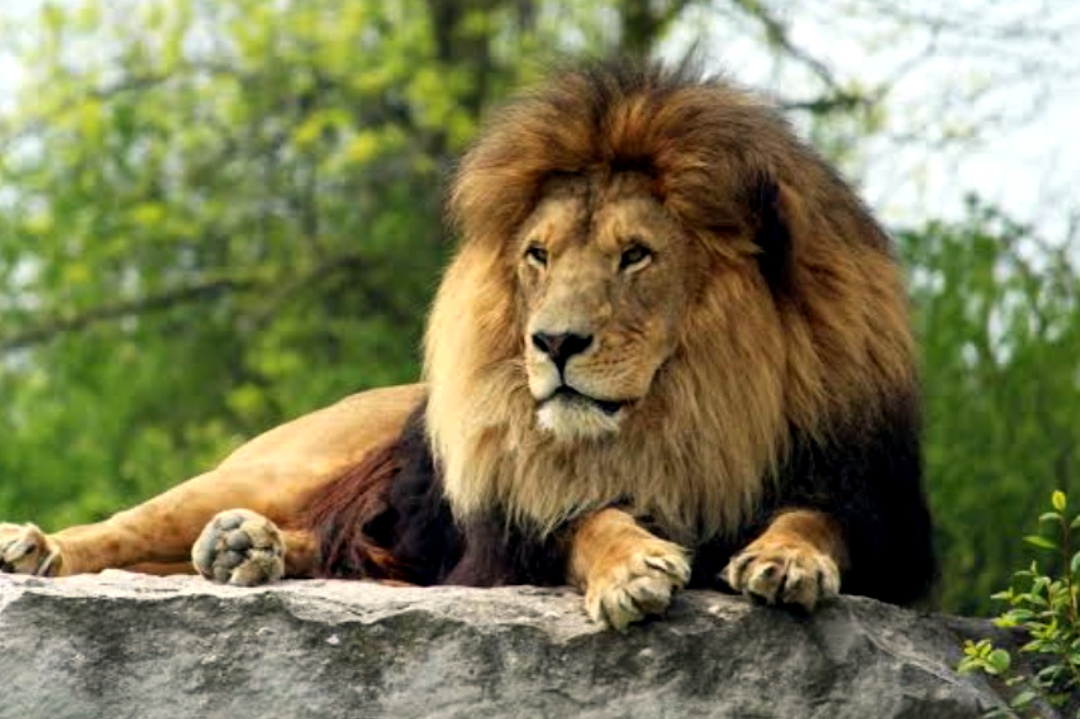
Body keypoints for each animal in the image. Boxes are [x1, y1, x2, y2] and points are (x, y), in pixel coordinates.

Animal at [0, 60, 935, 630]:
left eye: (635, 254)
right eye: (539, 254)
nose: (553, 341)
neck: (691, 406)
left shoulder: (878, 505)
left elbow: (821, 515)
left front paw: (785, 557)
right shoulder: (509, 531)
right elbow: (586, 518)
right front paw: (632, 567)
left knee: (326, 548)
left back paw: (246, 549)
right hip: (277, 463)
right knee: (136, 525)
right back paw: (44, 545)